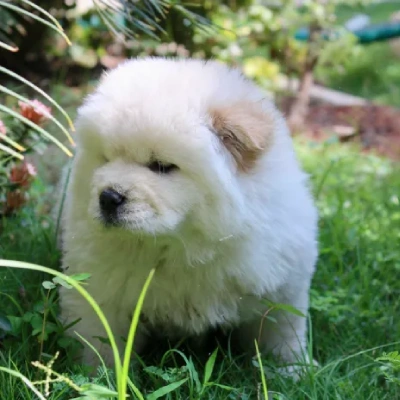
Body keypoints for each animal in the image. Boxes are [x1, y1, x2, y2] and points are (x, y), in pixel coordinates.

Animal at [58, 57, 318, 376]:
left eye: (161, 166)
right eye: (105, 159)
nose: (108, 197)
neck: (179, 246)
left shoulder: (282, 286)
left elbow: (281, 333)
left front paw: (292, 372)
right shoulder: (102, 290)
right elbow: (102, 341)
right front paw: (101, 377)